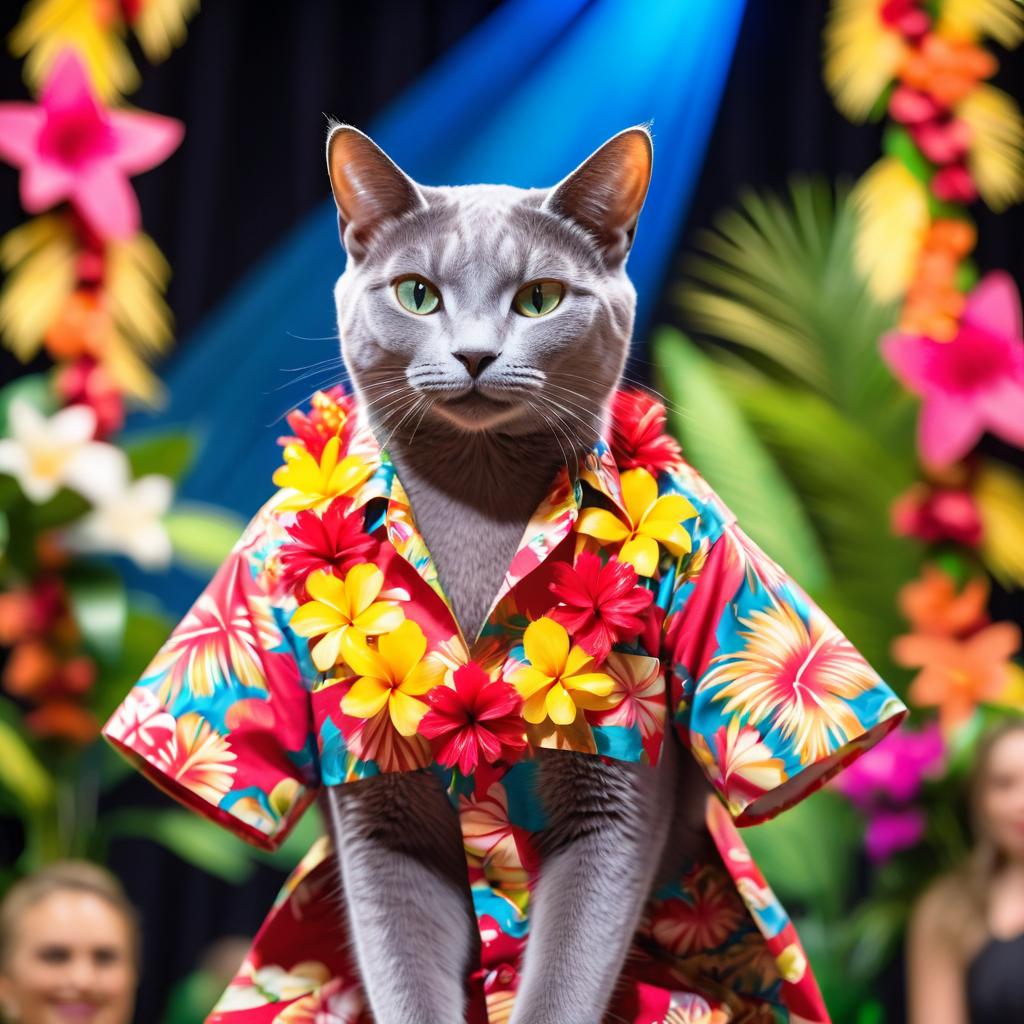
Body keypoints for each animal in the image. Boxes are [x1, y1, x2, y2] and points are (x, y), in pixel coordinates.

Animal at [319, 121, 712, 1024]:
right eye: (417, 294)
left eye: (538, 299)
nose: (474, 354)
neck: (479, 492)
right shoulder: (375, 804)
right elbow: (401, 964)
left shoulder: (622, 787)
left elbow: (568, 968)